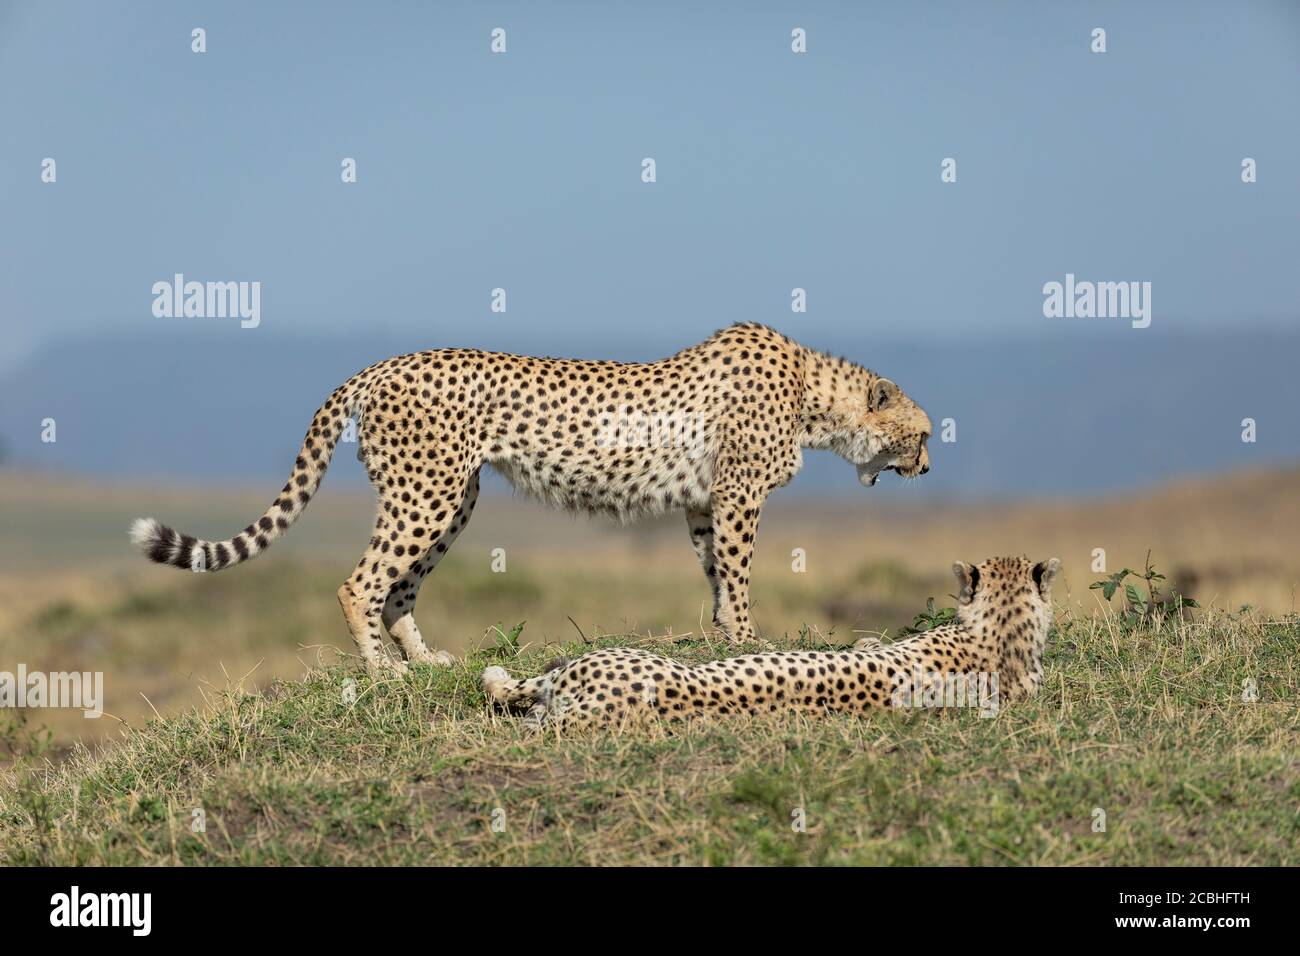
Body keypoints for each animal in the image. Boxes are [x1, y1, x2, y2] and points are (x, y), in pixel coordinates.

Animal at [126, 325, 930, 676]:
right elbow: (738, 574)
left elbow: (714, 574)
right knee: (362, 581)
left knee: (400, 586)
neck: (814, 396)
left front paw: (719, 634)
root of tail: (383, 363)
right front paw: (747, 640)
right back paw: (383, 672)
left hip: (454, 497)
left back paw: (427, 660)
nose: (926, 465)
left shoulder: (705, 504)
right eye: (921, 433)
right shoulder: (737, 497)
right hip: (429, 491)